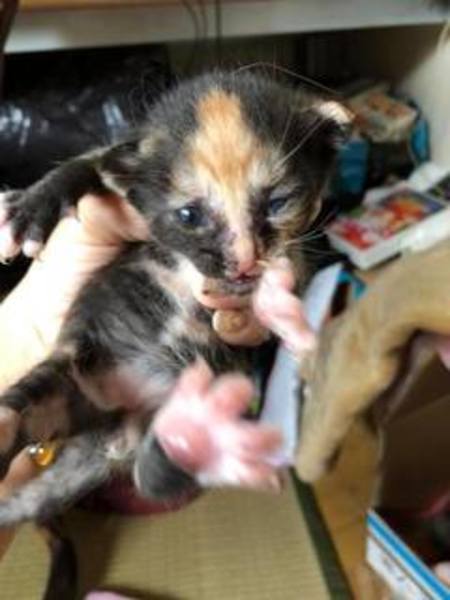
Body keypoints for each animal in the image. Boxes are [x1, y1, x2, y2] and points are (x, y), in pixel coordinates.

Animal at [0, 70, 350, 525]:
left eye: (278, 203)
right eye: (189, 215)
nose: (244, 262)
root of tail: (118, 436)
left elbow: (297, 266)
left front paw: (281, 304)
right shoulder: (125, 163)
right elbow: (90, 160)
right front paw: (32, 204)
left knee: (153, 477)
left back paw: (201, 435)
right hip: (75, 372)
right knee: (24, 408)